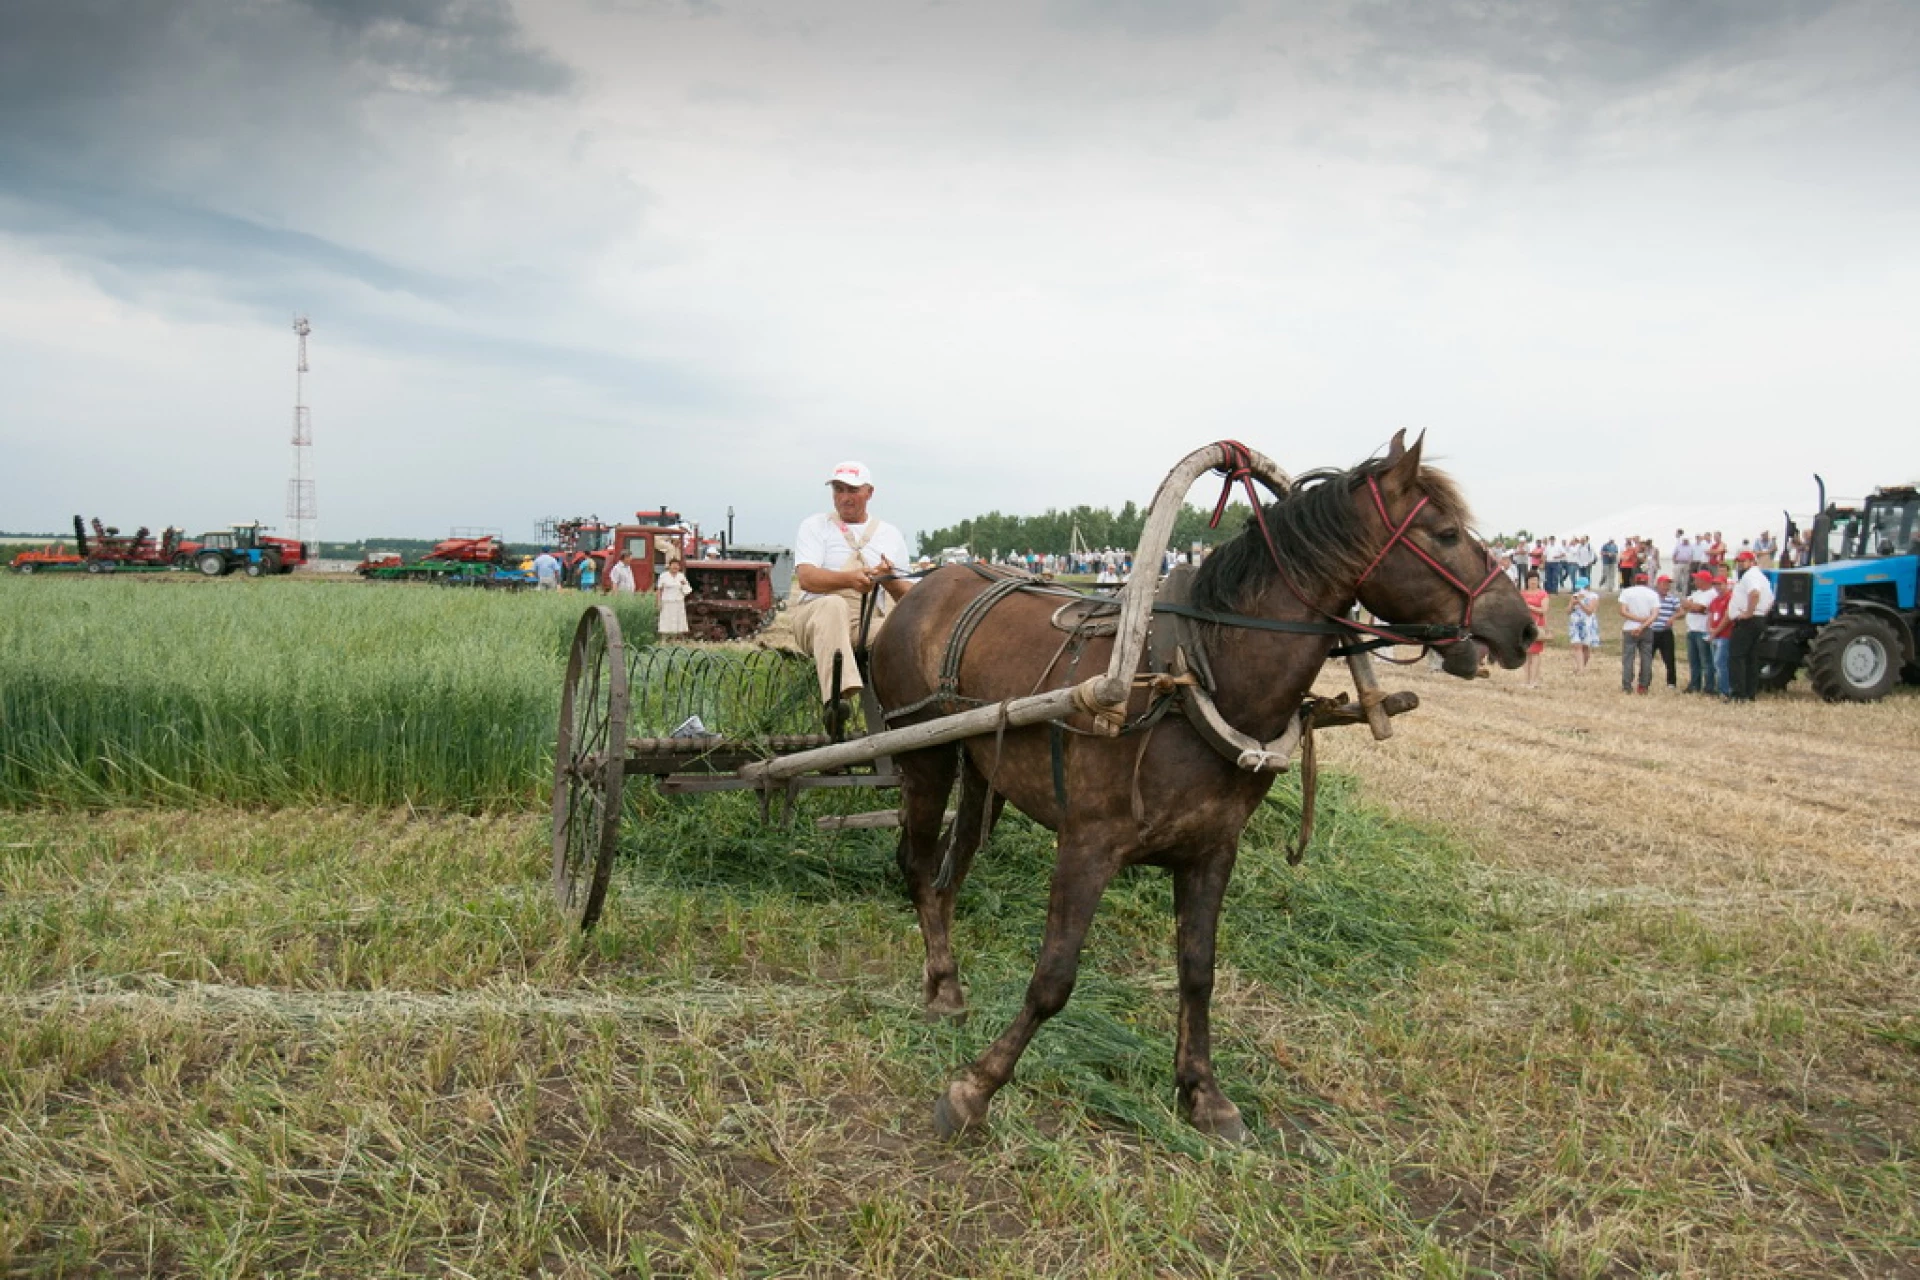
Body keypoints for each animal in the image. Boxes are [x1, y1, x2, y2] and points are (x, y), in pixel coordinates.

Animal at [867, 429, 1528, 1143]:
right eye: (1444, 532)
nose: (1522, 627)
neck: (1192, 676)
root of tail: (924, 586)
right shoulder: (1087, 844)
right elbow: (1054, 978)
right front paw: (975, 1089)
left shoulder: (1212, 849)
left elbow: (1197, 972)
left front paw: (1203, 1093)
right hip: (927, 756)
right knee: (918, 865)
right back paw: (941, 982)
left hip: (983, 770)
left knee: (948, 874)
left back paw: (946, 984)